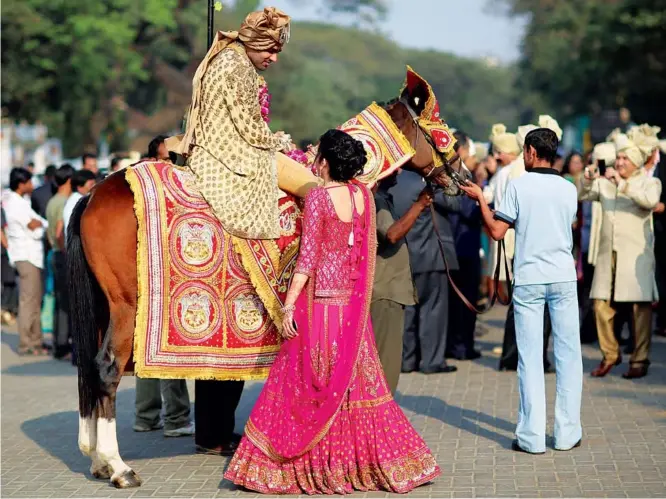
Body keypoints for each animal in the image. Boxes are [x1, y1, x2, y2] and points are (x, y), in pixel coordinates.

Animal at [65, 97, 464, 488]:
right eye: (441, 135)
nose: (461, 178)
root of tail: (92, 196)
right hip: (125, 306)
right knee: (107, 368)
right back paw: (119, 467)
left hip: (103, 305)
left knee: (89, 366)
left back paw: (98, 460)